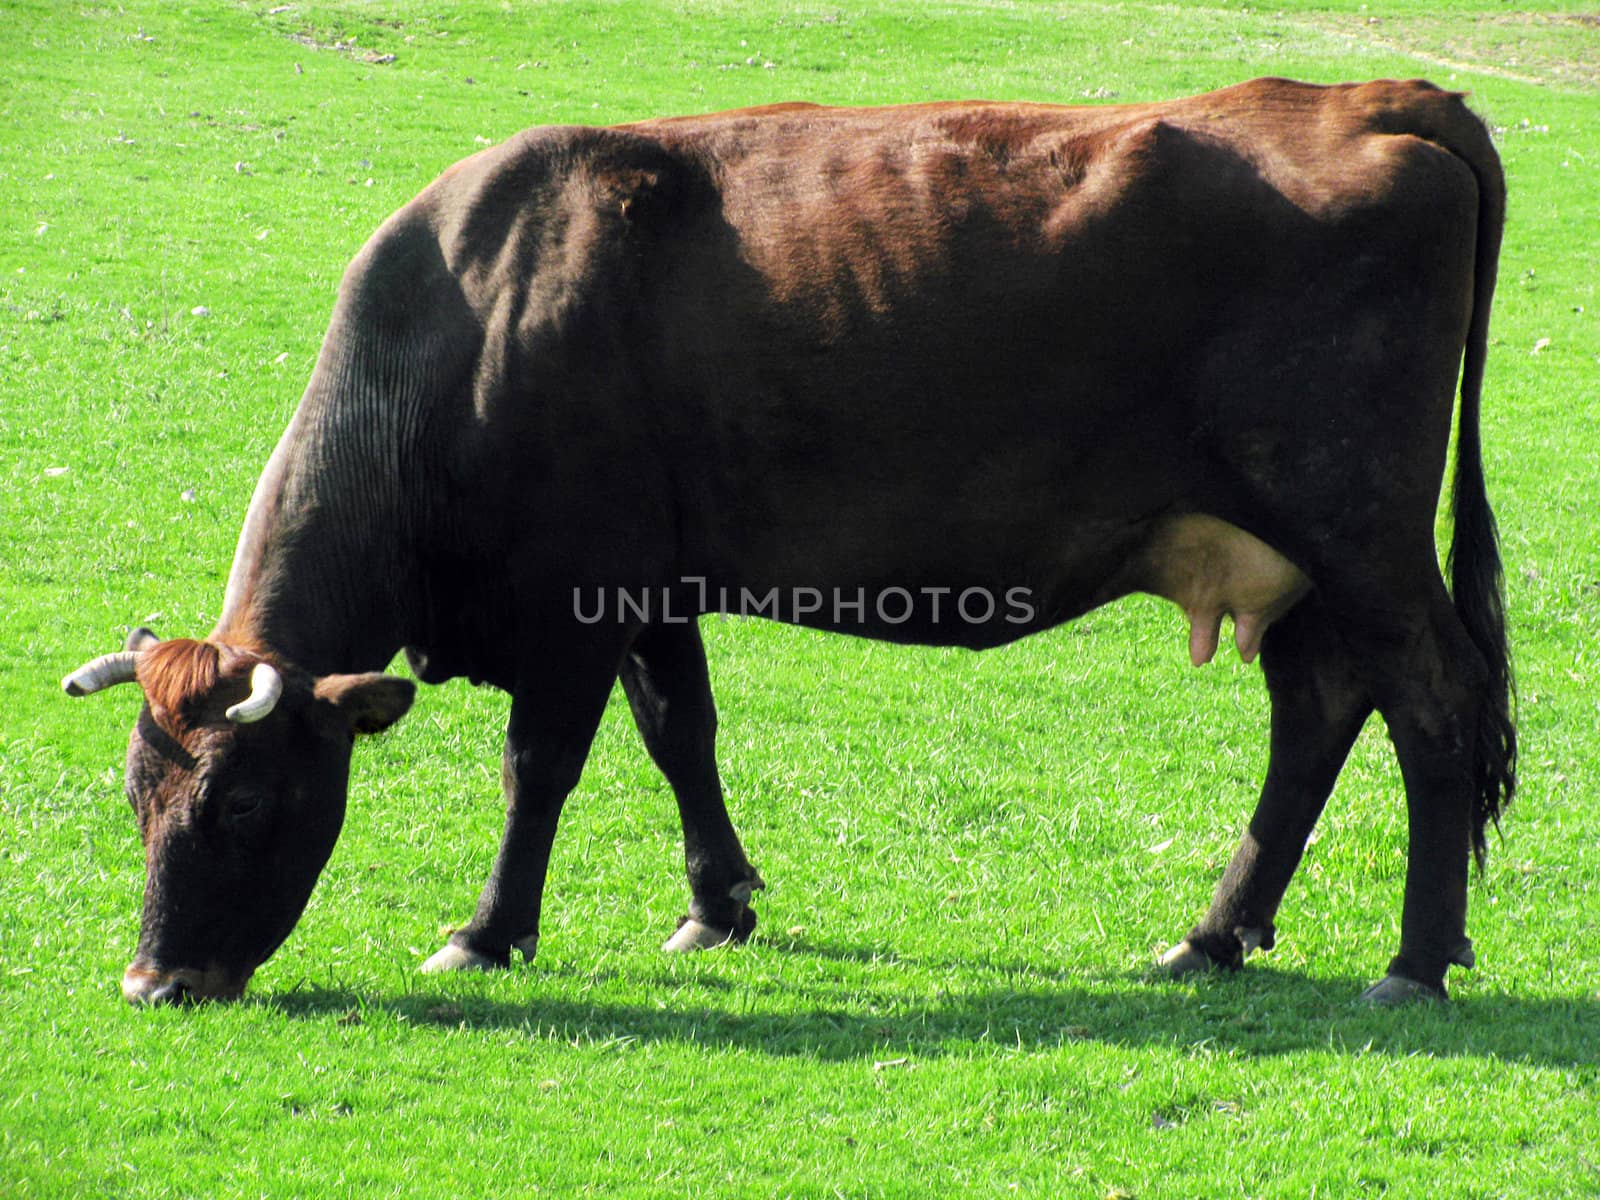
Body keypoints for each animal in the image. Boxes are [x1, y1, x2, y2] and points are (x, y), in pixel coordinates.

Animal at [62, 80, 1510, 1011]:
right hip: (1301, 556)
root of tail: (1367, 98)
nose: (152, 982)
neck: (475, 320)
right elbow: (679, 733)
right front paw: (718, 904)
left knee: (1433, 708)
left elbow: (542, 767)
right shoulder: (653, 584)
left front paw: (489, 932)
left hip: (1360, 526)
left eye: (244, 802)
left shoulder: (574, 597)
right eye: (137, 797)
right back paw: (1213, 938)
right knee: (1319, 710)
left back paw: (1413, 963)